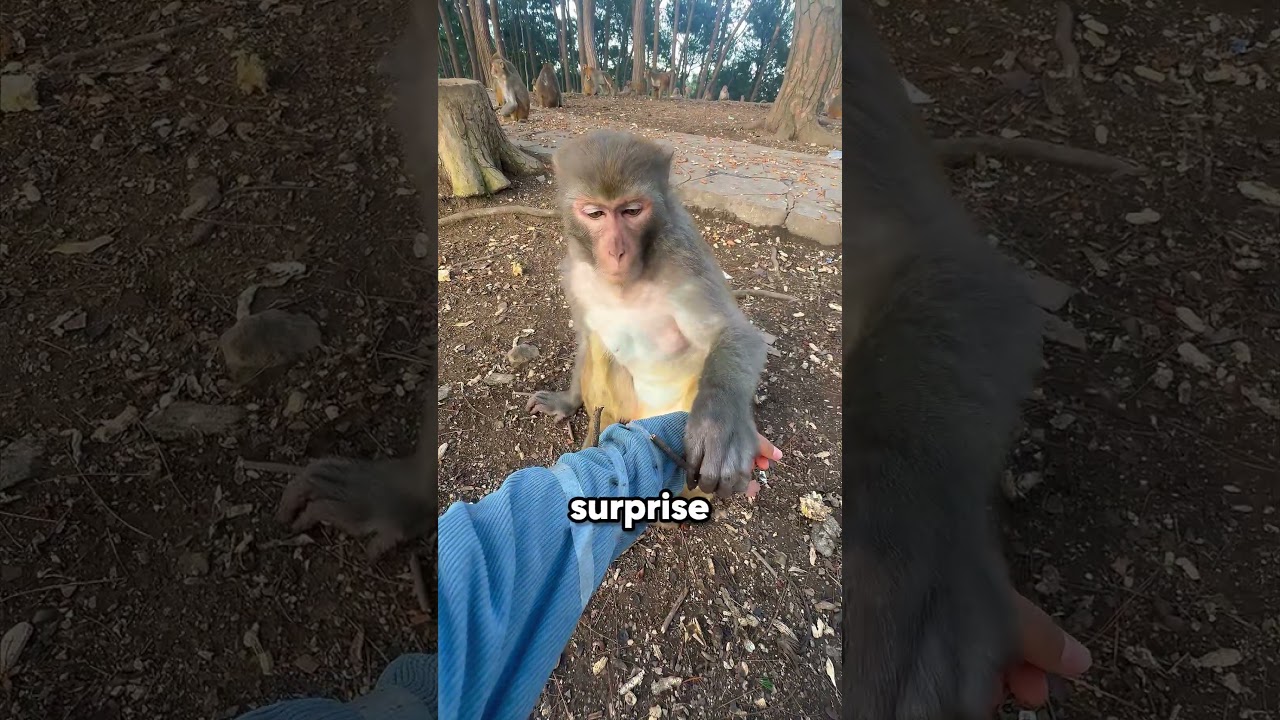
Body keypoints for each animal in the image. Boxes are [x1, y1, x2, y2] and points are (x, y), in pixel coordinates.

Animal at [526, 130, 766, 510]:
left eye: (632, 211)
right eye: (595, 213)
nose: (616, 251)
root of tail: (644, 418)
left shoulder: (683, 258)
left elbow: (733, 332)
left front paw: (719, 428)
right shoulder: (574, 274)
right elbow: (586, 337)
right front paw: (566, 400)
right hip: (626, 408)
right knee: (600, 350)